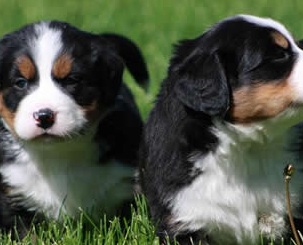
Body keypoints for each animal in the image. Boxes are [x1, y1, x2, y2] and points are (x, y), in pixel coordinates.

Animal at [0, 21, 148, 237]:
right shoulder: (13, 194)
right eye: (20, 83)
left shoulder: (128, 182)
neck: (58, 155)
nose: (44, 116)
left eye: (71, 80)